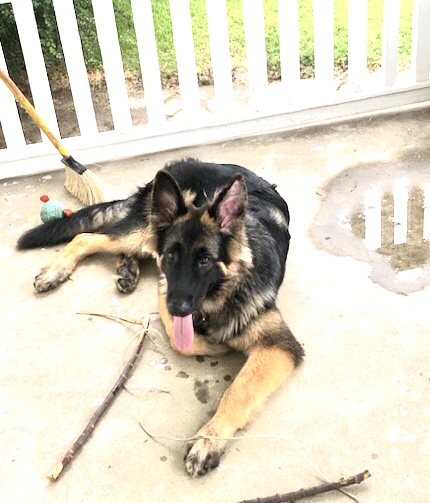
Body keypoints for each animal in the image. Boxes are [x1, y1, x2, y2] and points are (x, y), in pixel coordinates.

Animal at [18, 158, 304, 476]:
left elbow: (238, 391)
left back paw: (127, 269)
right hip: (144, 233)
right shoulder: (167, 289)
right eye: (172, 256)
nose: (180, 307)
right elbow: (181, 339)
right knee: (86, 238)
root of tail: (185, 163)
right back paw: (58, 271)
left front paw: (209, 438)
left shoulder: (278, 346)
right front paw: (214, 346)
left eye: (205, 260)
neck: (222, 294)